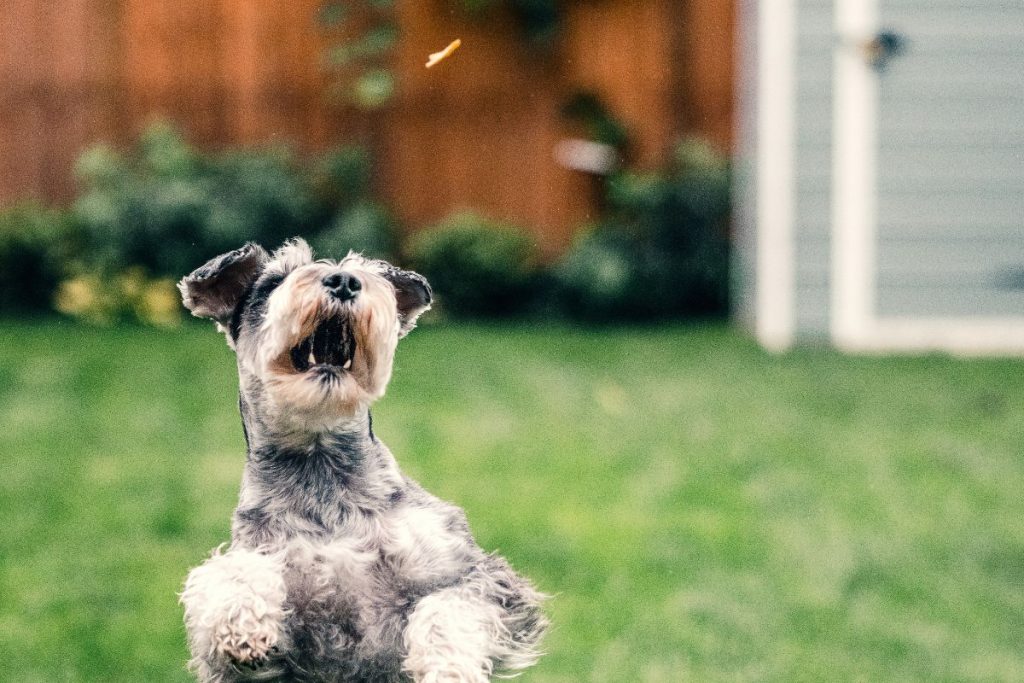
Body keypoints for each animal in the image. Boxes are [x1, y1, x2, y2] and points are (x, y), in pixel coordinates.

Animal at [178, 239, 544, 679]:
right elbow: (228, 571)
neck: (321, 472)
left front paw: (448, 666)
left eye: (360, 273)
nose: (344, 282)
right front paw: (241, 620)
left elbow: (450, 606)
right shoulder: (247, 661)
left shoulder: (478, 574)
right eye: (273, 283)